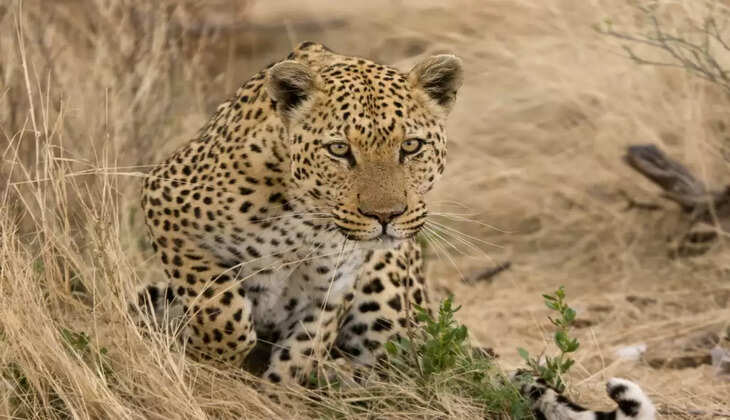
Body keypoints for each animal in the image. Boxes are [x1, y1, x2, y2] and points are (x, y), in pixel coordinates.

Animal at [138, 41, 655, 420]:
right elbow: (219, 304)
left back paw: (345, 382)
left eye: (411, 146)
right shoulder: (163, 201)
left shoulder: (332, 284)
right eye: (339, 150)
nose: (386, 215)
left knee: (397, 372)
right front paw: (213, 366)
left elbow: (300, 353)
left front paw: (275, 400)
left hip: (386, 294)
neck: (305, 218)